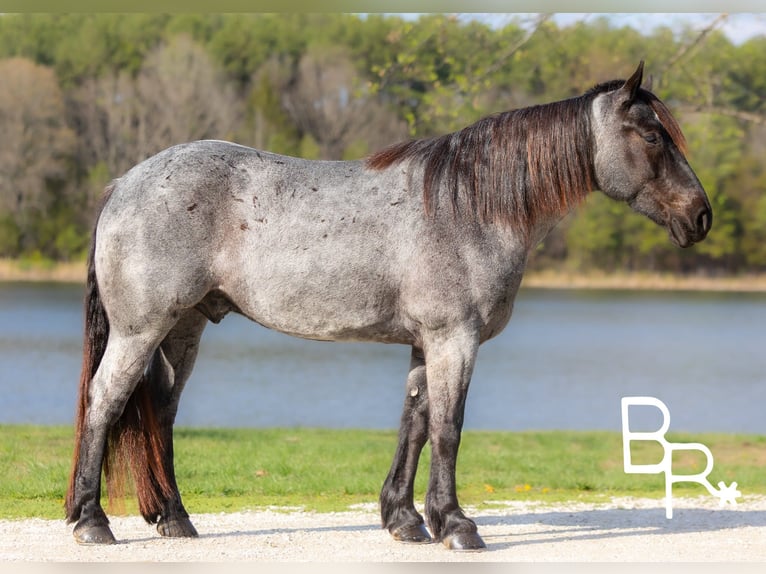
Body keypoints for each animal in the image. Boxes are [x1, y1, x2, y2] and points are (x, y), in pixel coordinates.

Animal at [65, 61, 711, 551]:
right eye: (652, 136)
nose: (701, 216)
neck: (469, 205)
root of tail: (124, 183)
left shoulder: (427, 343)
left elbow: (416, 424)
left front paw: (405, 519)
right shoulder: (454, 339)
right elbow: (448, 429)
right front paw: (457, 525)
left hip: (183, 330)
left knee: (159, 410)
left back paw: (174, 518)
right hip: (141, 329)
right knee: (105, 401)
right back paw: (91, 521)